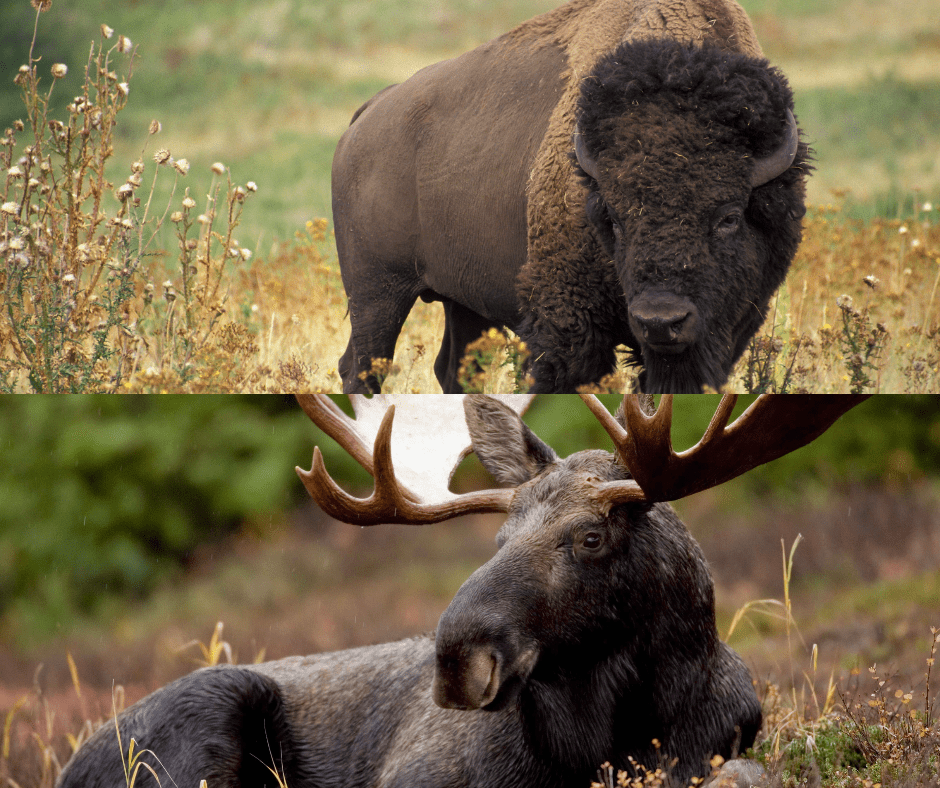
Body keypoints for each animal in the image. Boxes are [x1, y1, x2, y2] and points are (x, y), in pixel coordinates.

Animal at [333, 0, 809, 393]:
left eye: (729, 217)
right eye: (613, 218)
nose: (660, 321)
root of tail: (367, 116)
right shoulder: (567, 327)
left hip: (463, 301)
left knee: (452, 370)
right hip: (377, 293)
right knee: (361, 367)